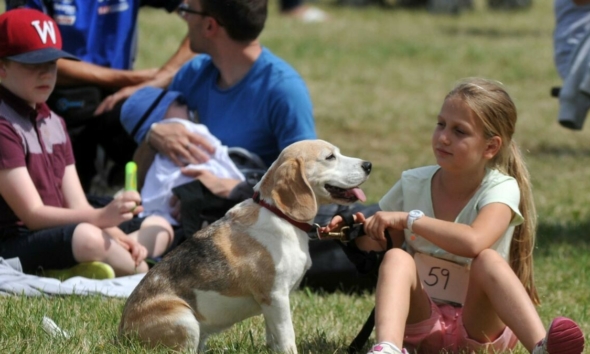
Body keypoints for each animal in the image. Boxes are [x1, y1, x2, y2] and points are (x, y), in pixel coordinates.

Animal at [118, 140, 372, 352]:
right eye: (330, 157)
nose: (368, 165)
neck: (279, 214)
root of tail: (122, 334)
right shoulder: (276, 297)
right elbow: (287, 338)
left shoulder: (273, 305)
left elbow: (274, 339)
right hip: (185, 319)